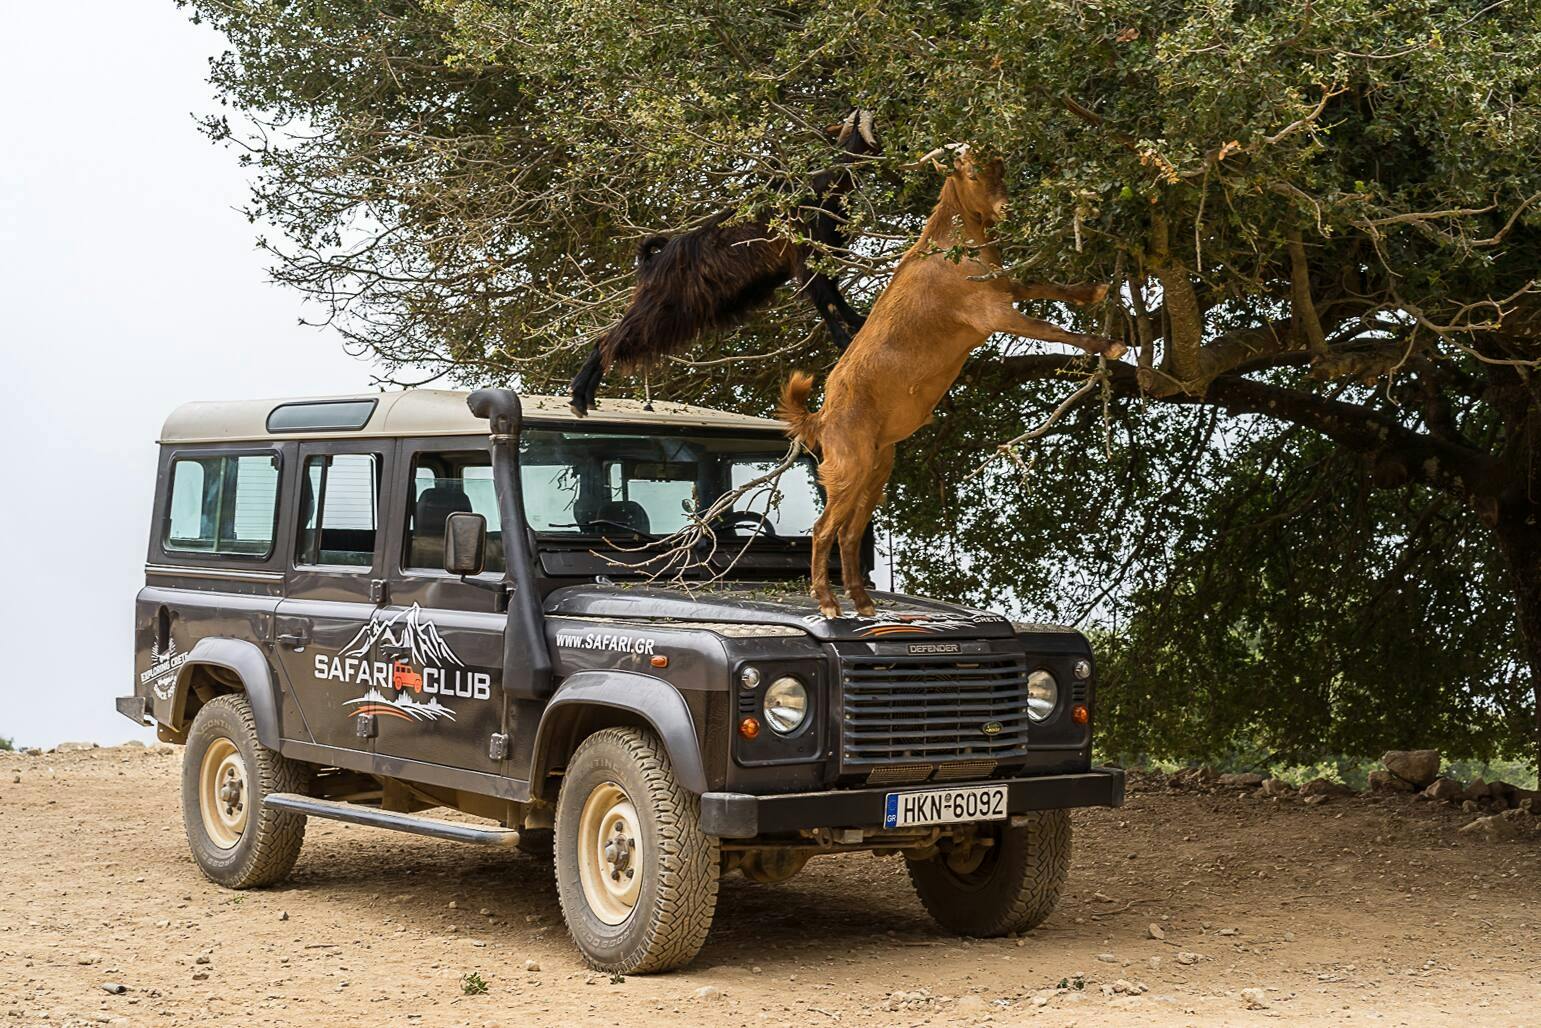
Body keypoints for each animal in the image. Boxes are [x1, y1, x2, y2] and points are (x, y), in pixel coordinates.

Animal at [567, 110, 881, 416]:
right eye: (869, 128)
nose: (883, 149)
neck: (820, 186)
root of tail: (653, 260)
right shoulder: (805, 256)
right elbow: (825, 300)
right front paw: (845, 340)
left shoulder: (824, 255)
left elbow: (833, 297)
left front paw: (859, 323)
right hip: (661, 307)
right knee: (610, 339)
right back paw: (580, 396)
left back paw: (585, 398)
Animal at [782, 148, 1121, 619]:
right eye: (972, 173)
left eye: (1001, 166)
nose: (1007, 208)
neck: (951, 246)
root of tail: (822, 415)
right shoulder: (991, 312)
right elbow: (1053, 329)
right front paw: (1109, 345)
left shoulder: (1005, 287)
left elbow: (1043, 283)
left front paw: (1094, 290)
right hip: (849, 466)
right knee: (822, 528)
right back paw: (830, 605)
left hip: (878, 465)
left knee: (849, 531)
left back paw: (864, 605)